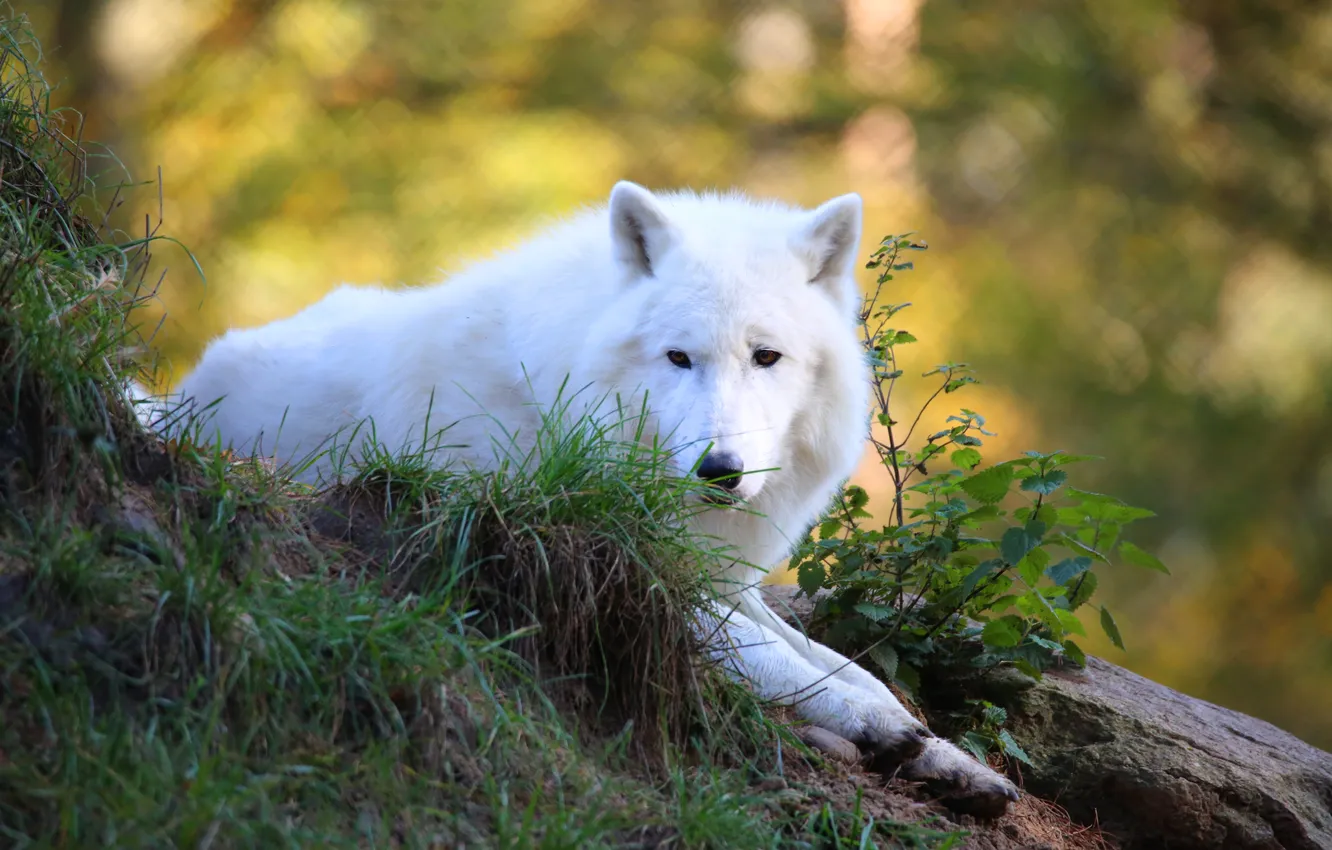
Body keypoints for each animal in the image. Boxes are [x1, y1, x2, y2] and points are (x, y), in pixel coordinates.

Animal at [142, 182, 1020, 815]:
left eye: (766, 356)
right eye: (678, 358)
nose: (719, 470)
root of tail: (179, 392)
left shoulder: (722, 579)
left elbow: (852, 666)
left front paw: (951, 759)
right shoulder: (639, 568)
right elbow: (781, 661)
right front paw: (882, 732)